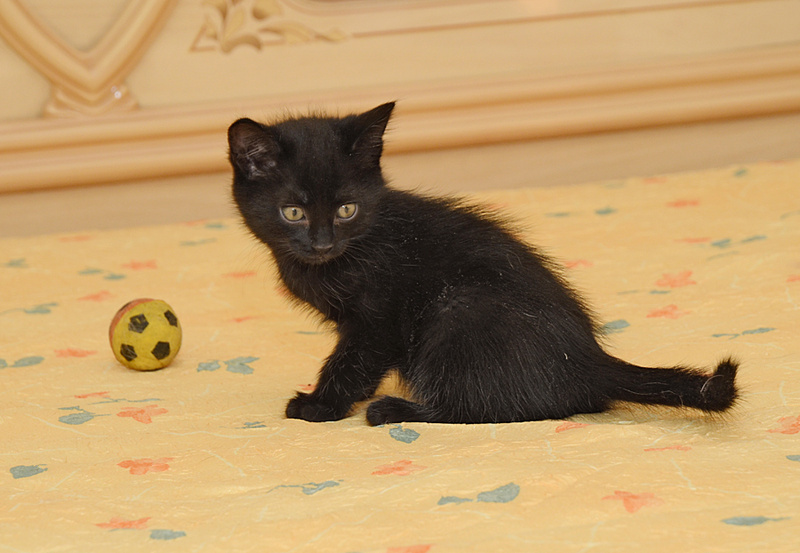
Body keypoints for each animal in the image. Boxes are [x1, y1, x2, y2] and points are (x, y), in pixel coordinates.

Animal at [227, 102, 739, 425]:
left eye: (346, 209)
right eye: (293, 212)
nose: (321, 242)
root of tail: (589, 360)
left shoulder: (378, 319)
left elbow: (352, 360)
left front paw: (320, 405)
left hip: (460, 311)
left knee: (486, 407)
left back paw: (395, 411)